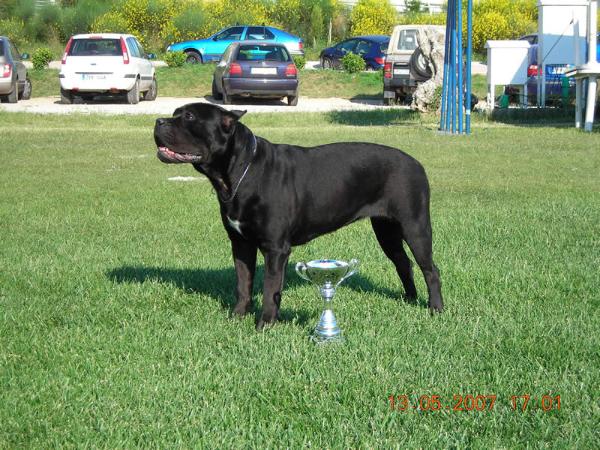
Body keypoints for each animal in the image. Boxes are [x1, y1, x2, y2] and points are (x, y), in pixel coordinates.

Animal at [155, 102, 442, 328]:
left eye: (189, 117)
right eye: (176, 112)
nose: (158, 121)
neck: (240, 172)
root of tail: (417, 163)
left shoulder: (275, 248)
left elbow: (270, 288)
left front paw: (265, 324)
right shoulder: (241, 243)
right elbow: (243, 283)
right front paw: (237, 317)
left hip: (414, 225)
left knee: (430, 269)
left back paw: (435, 308)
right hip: (385, 229)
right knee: (403, 262)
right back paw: (409, 298)